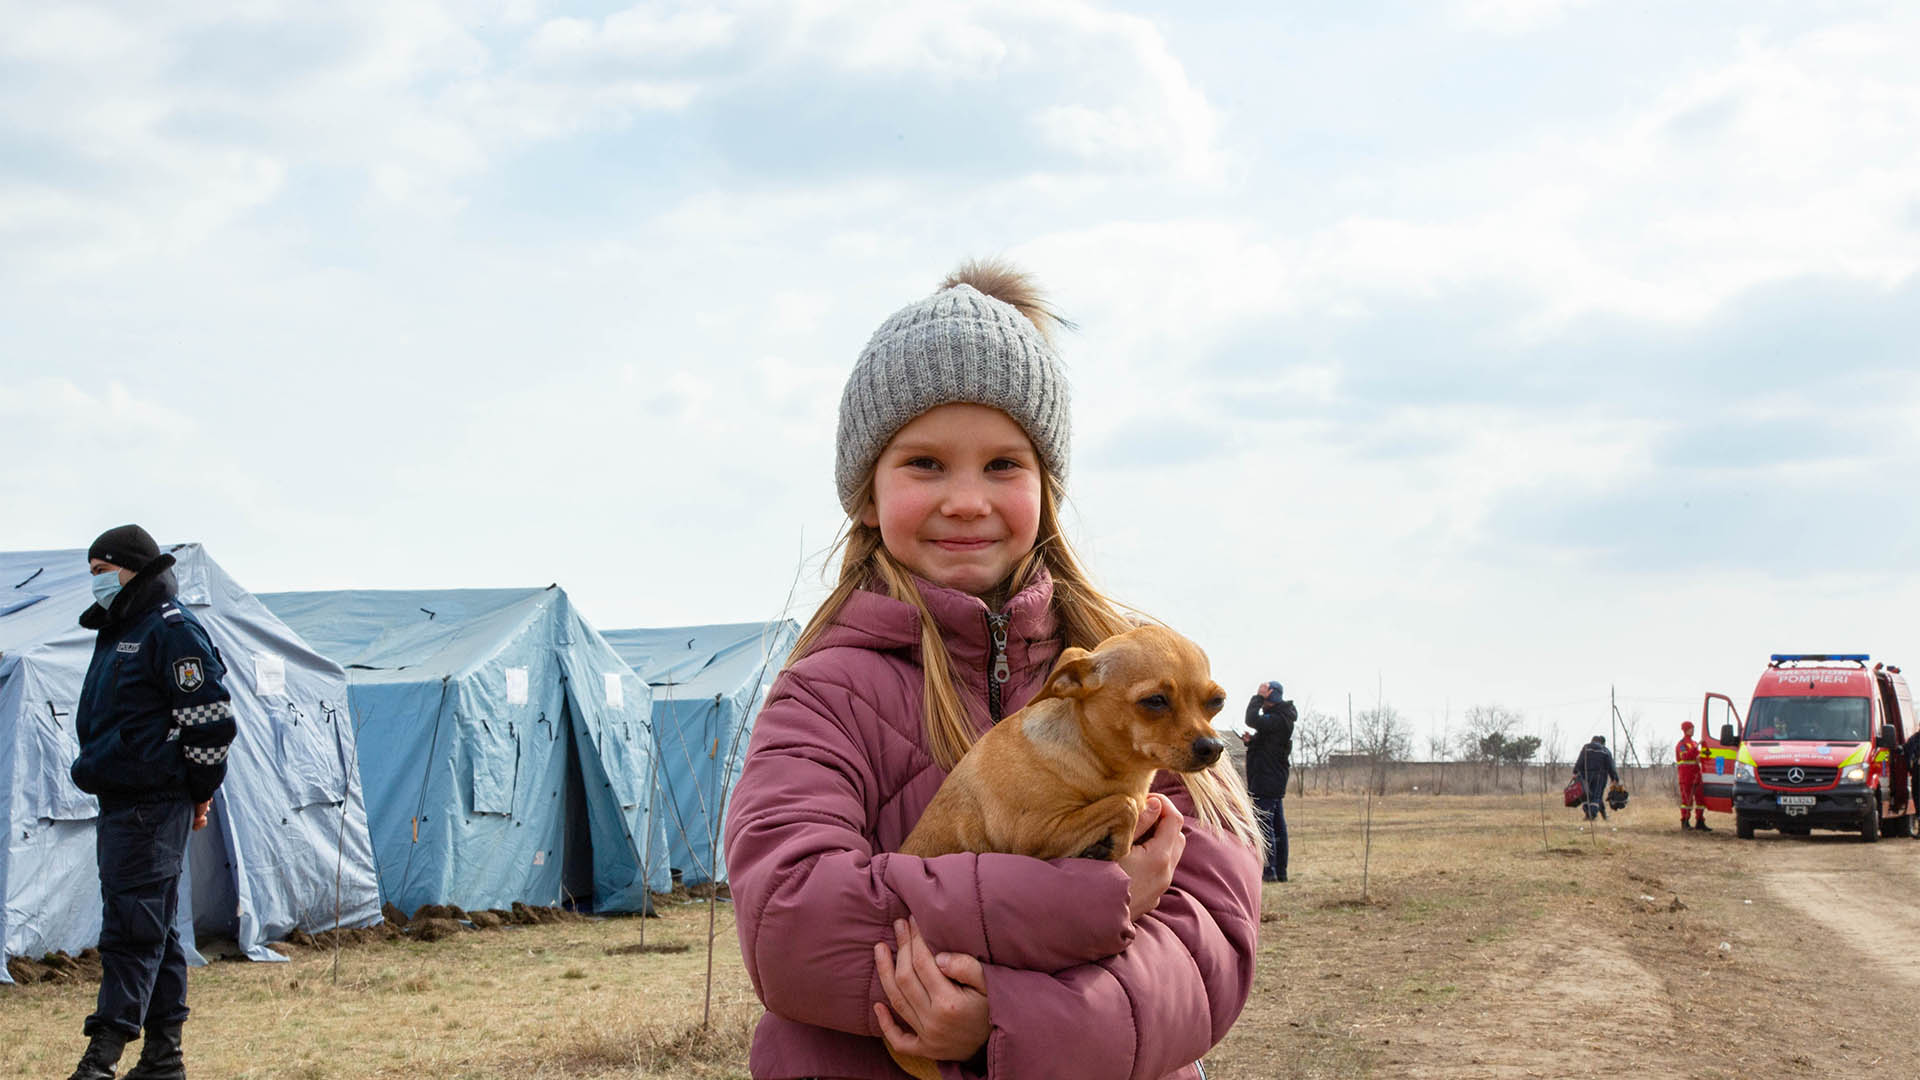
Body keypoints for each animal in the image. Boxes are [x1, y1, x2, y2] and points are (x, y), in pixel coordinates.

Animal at [883, 622, 1228, 1076]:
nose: (1213, 747)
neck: (1101, 764)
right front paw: (1113, 847)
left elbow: (1130, 803)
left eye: (1216, 702)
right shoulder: (1034, 833)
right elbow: (1125, 805)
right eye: (1154, 701)